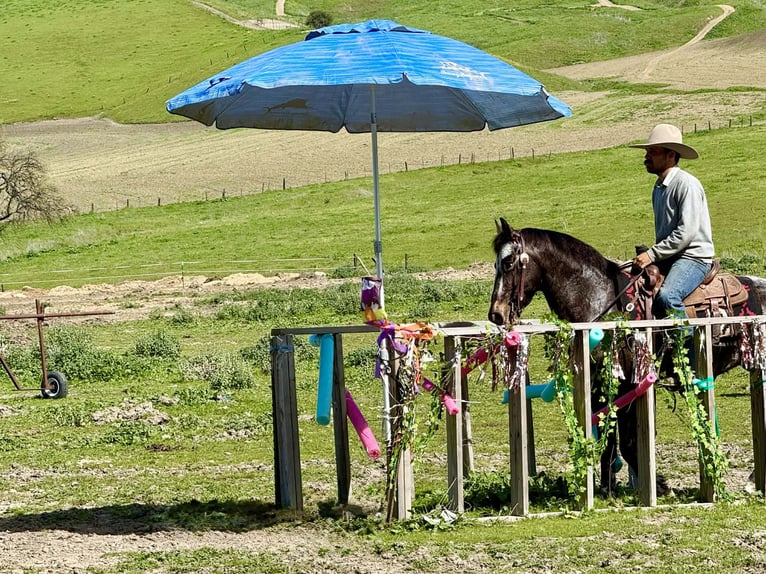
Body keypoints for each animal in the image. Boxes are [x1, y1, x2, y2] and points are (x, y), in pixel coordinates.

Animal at [487, 217, 766, 493]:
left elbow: (628, 441)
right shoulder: (599, 384)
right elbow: (607, 437)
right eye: (496, 263)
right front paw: (607, 488)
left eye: (508, 262)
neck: (602, 301)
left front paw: (659, 485)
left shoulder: (627, 385)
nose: (496, 314)